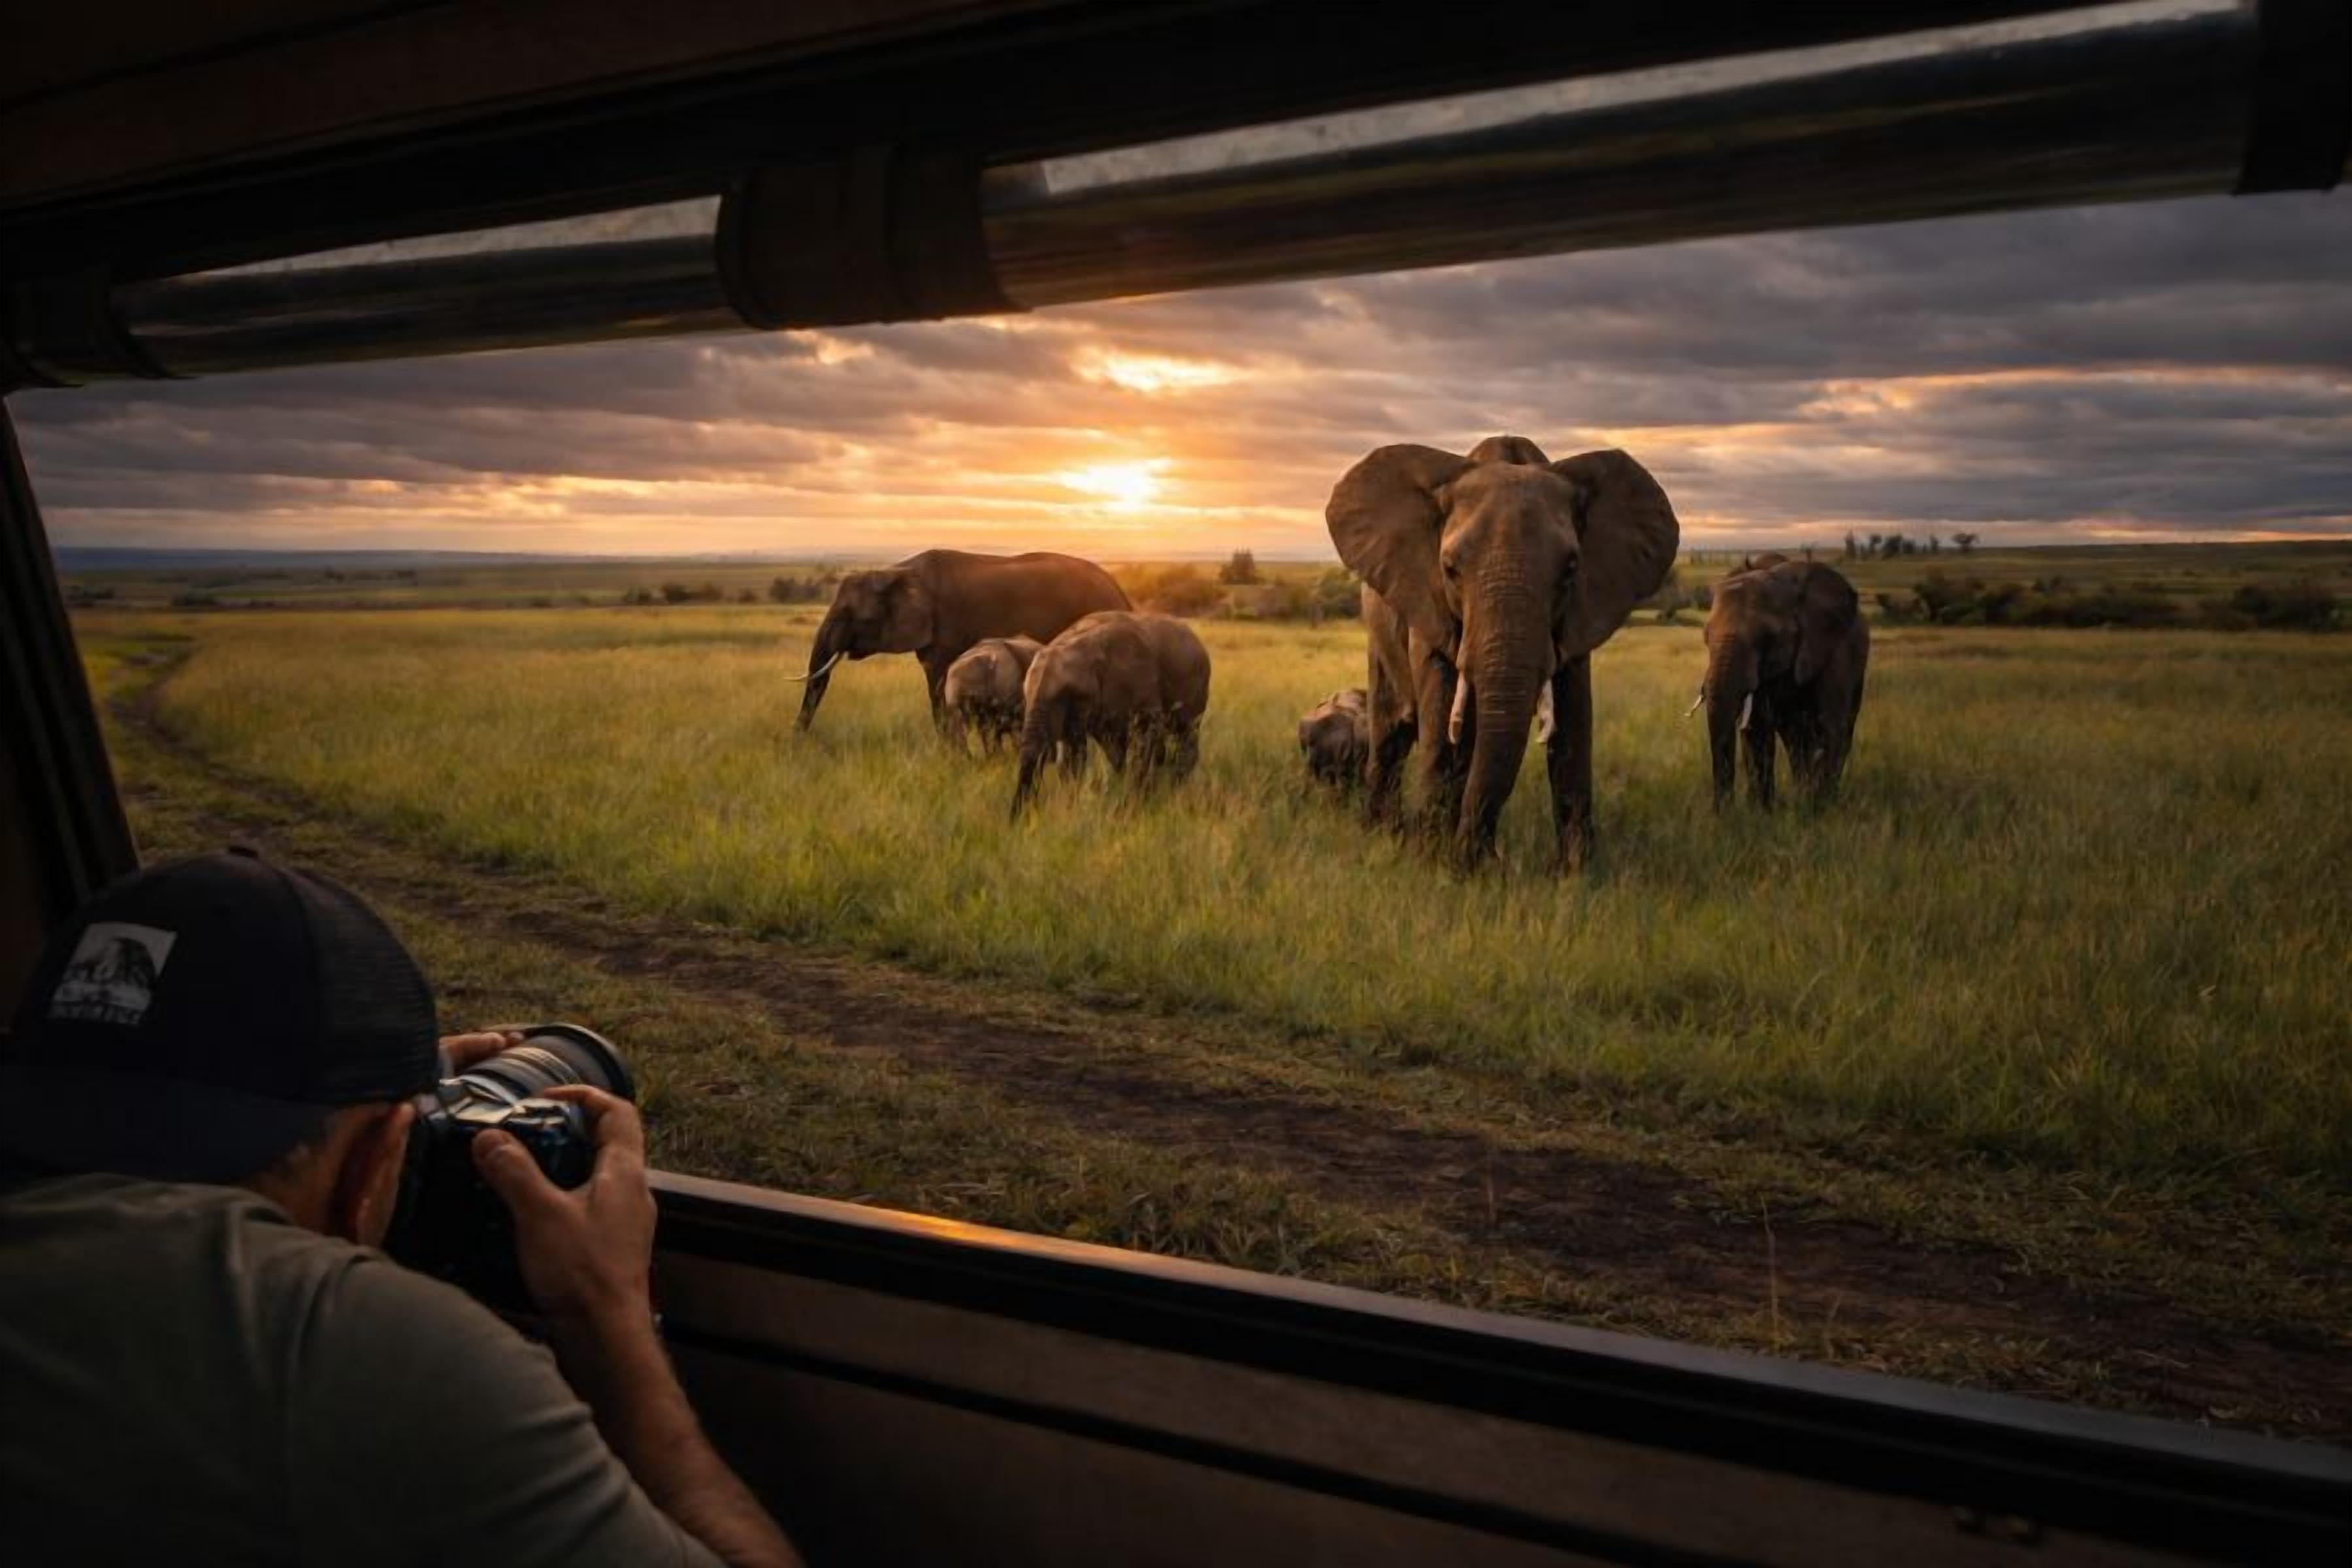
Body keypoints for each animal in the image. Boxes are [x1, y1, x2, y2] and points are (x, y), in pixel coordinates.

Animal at [792, 550, 1129, 732]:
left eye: (850, 614)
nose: (797, 744)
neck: (897, 571)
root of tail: (1117, 587)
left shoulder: (946, 628)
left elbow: (939, 687)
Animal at [1010, 611, 1211, 818]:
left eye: (1070, 694)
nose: (1017, 819)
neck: (1082, 644)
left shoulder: (1139, 684)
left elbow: (1142, 740)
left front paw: (1133, 807)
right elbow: (1077, 757)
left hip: (1198, 687)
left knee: (1187, 735)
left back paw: (1175, 788)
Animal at [1327, 434, 1679, 869]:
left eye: (1571, 569)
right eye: (1449, 569)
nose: (1490, 859)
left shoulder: (1581, 611)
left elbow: (1573, 726)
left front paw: (1575, 873)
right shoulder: (1428, 602)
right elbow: (1442, 719)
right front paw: (1433, 862)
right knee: (1394, 728)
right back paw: (1383, 837)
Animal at [1694, 557, 1867, 809]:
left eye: (1768, 637)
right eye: (1706, 638)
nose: (1722, 812)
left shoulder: (1835, 652)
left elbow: (1829, 727)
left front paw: (1818, 809)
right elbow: (1756, 731)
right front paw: (1763, 812)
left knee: (1840, 732)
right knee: (1796, 741)